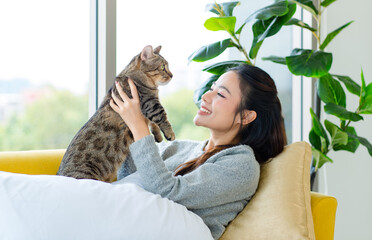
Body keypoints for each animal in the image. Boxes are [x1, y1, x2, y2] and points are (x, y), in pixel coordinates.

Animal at [57, 44, 176, 182]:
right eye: (162, 67)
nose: (172, 75)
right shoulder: (150, 103)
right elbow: (161, 117)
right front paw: (169, 134)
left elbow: (153, 123)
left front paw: (158, 136)